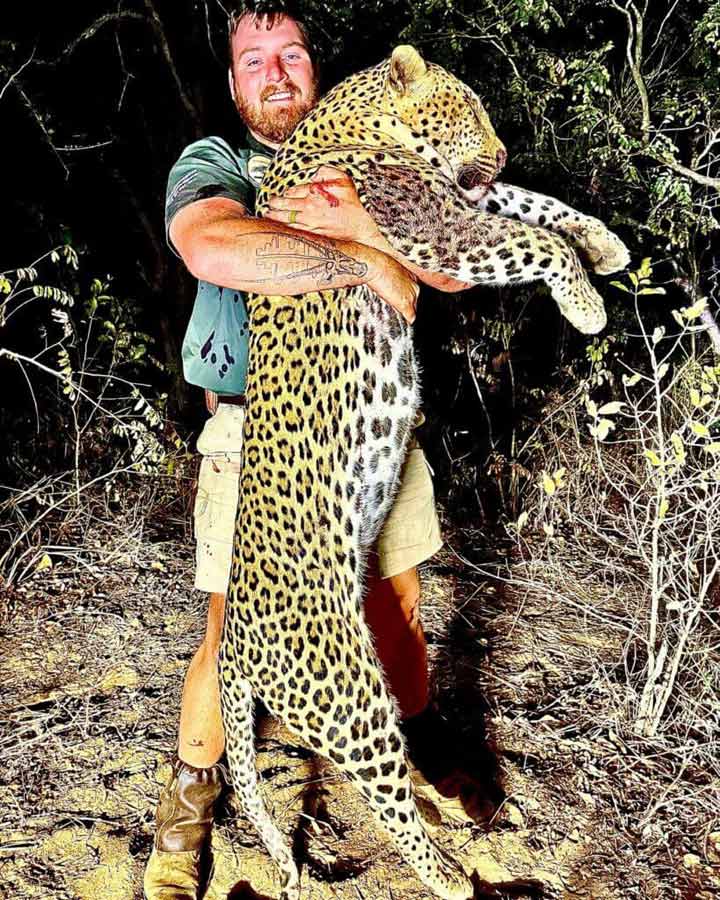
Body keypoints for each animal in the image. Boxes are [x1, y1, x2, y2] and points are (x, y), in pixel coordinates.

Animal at [218, 45, 630, 900]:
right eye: (468, 108)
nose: (501, 147)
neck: (359, 117)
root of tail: (236, 645)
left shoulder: (458, 195)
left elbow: (534, 203)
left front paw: (605, 245)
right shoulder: (437, 224)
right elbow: (532, 240)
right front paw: (586, 303)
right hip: (348, 693)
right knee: (383, 794)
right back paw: (447, 871)